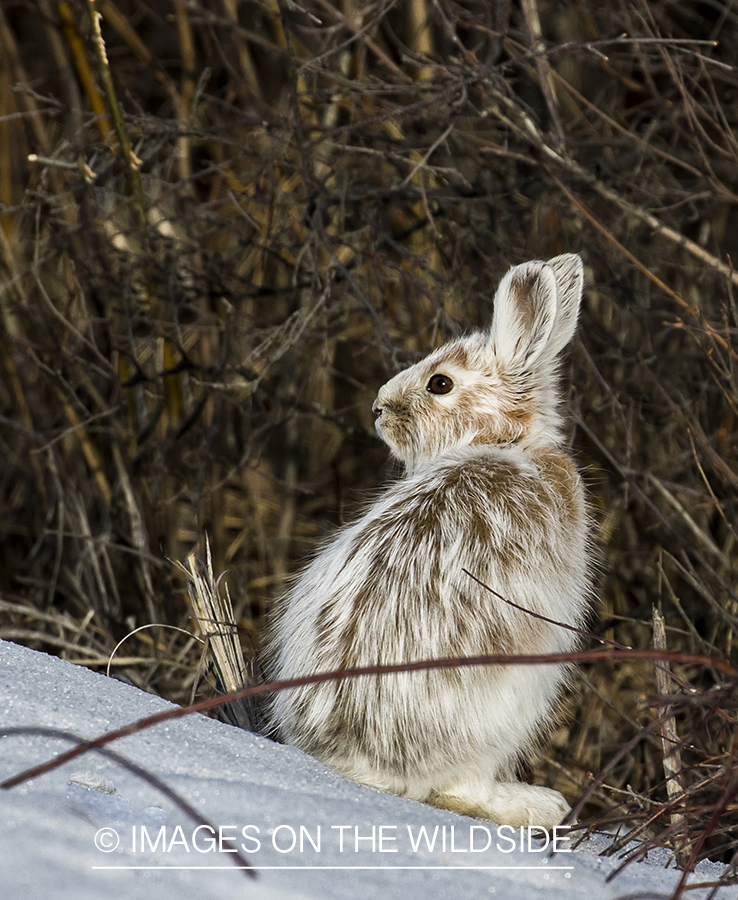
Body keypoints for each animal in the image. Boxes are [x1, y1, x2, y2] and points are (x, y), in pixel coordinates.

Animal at [267, 253, 590, 828]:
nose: (377, 408)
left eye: (440, 383)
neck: (505, 438)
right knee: (463, 788)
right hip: (514, 699)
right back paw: (539, 806)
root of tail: (361, 757)